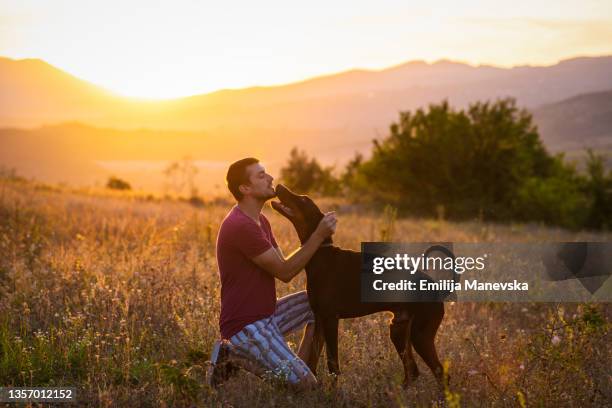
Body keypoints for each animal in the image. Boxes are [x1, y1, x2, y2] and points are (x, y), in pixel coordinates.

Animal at [272, 183, 444, 388]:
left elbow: (332, 363)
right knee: (412, 371)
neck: (320, 254)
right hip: (399, 330)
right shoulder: (319, 319)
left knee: (439, 372)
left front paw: (333, 391)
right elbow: (312, 362)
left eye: (304, 199)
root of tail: (440, 288)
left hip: (420, 334)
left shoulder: (331, 319)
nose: (279, 185)